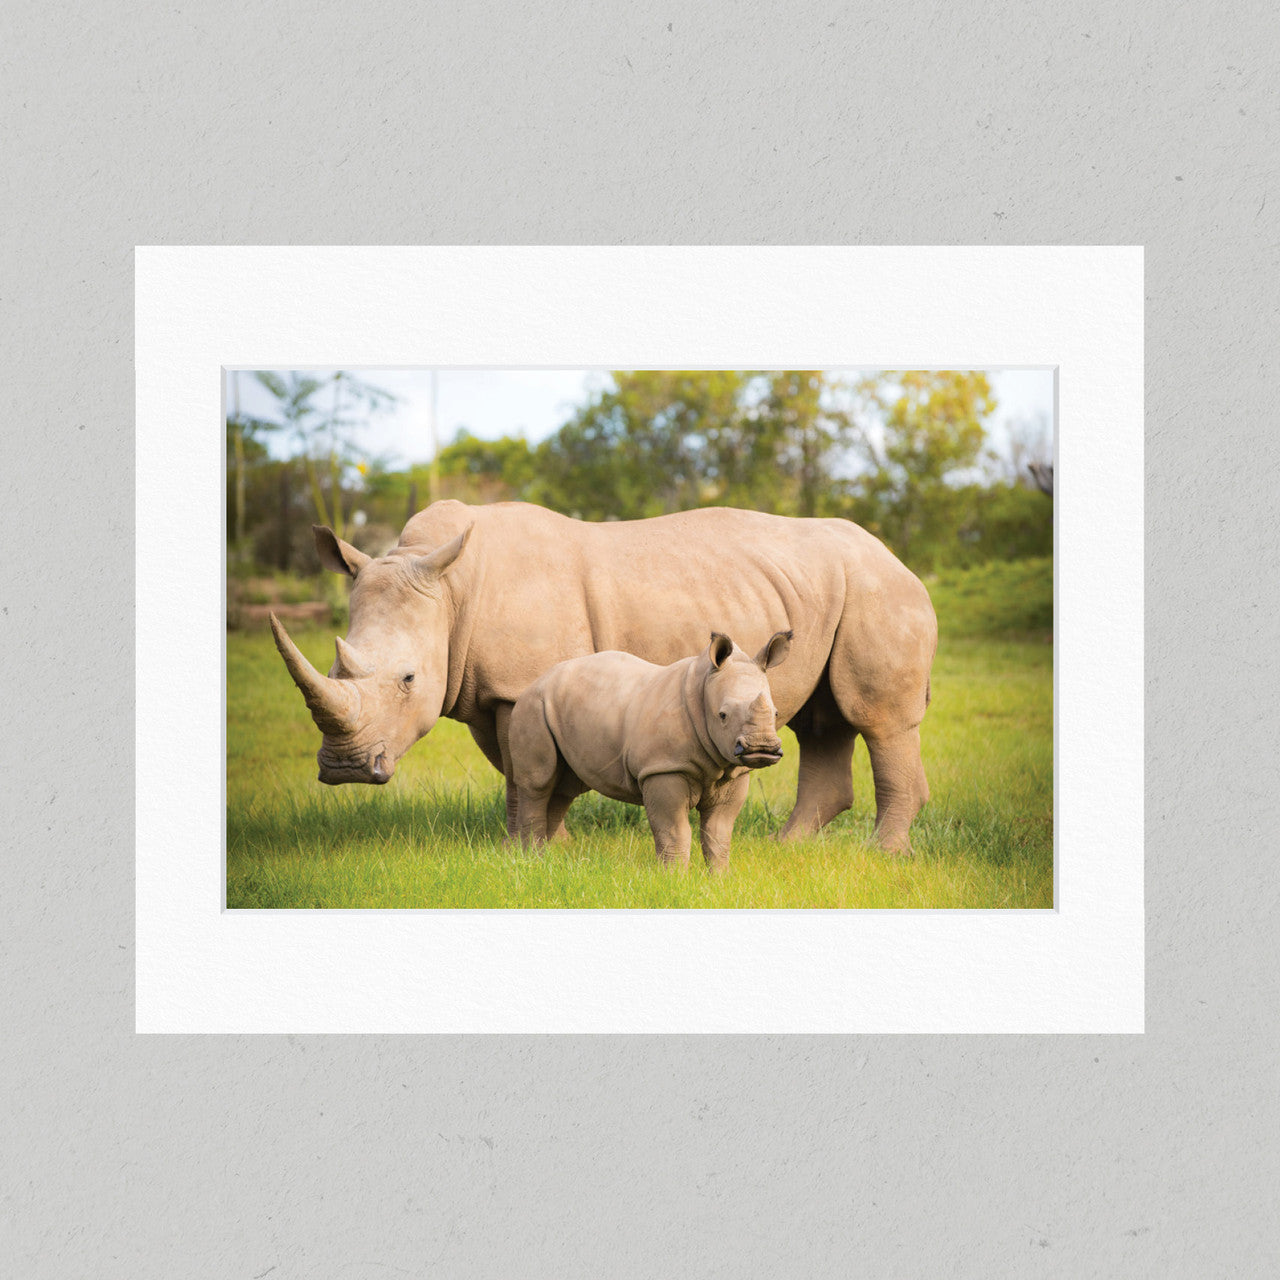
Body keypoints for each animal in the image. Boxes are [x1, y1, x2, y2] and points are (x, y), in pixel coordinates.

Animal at [509, 631, 792, 870]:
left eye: (776, 713)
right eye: (722, 715)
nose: (762, 747)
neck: (703, 688)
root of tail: (536, 681)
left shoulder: (734, 771)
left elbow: (718, 834)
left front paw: (720, 880)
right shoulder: (663, 768)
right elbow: (674, 831)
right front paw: (674, 879)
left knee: (564, 787)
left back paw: (547, 859)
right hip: (533, 705)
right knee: (539, 783)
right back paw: (532, 860)